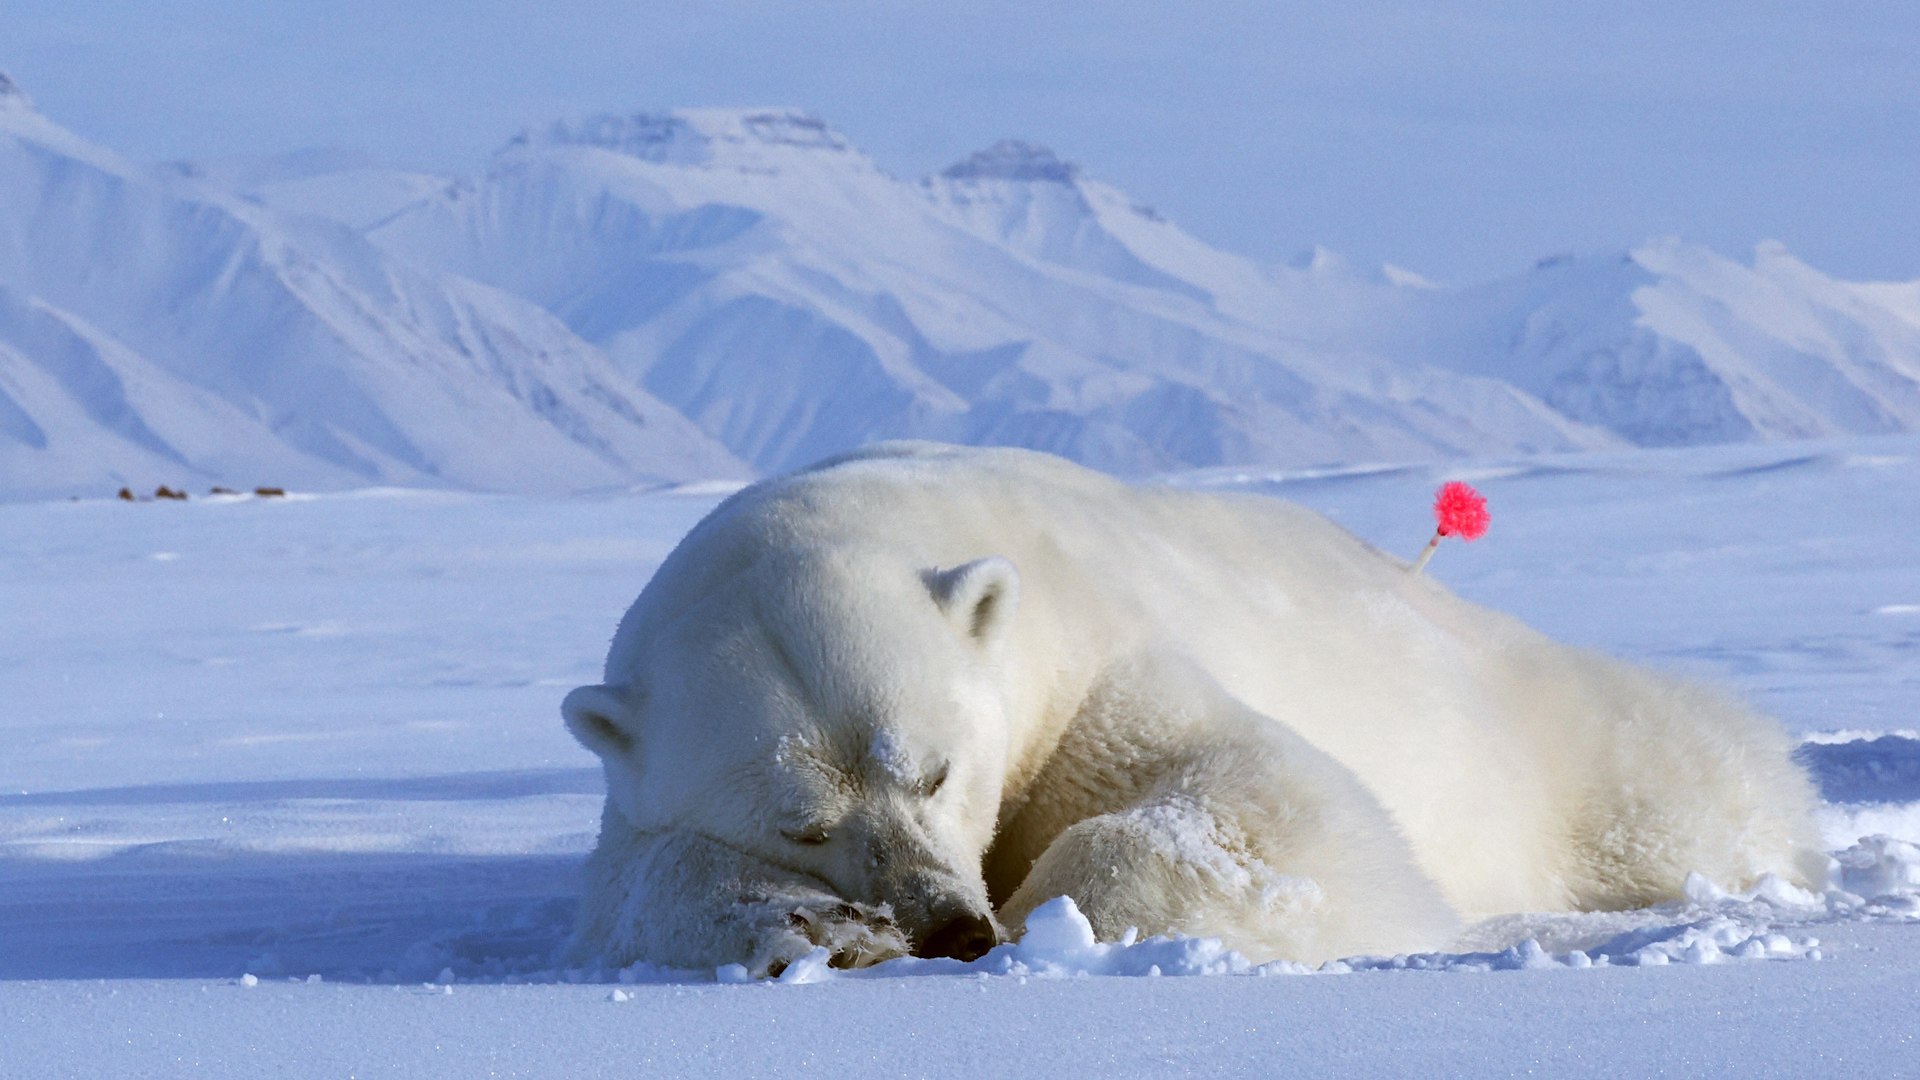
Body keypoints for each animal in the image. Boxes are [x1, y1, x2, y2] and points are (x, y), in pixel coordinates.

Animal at [561, 442, 1824, 975]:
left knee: (1677, 782)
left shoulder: (1095, 656)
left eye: (935, 769)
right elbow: (637, 879)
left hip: (1555, 735)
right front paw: (816, 927)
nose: (952, 927)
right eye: (804, 824)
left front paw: (1050, 915)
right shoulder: (634, 784)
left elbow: (1259, 800)